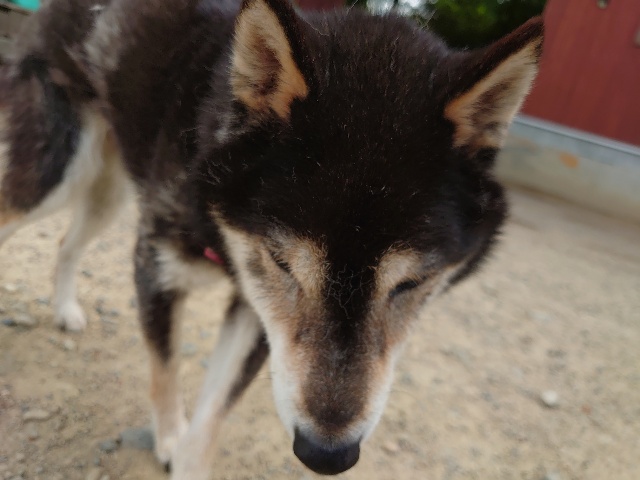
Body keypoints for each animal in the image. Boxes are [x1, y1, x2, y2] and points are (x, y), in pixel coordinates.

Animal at [0, 0, 543, 477]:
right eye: (283, 264)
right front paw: (169, 438)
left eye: (412, 285)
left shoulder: (258, 314)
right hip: (55, 173)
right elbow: (166, 373)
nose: (327, 456)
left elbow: (211, 419)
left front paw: (188, 458)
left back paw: (65, 309)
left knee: (66, 244)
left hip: (105, 190)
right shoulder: (159, 269)